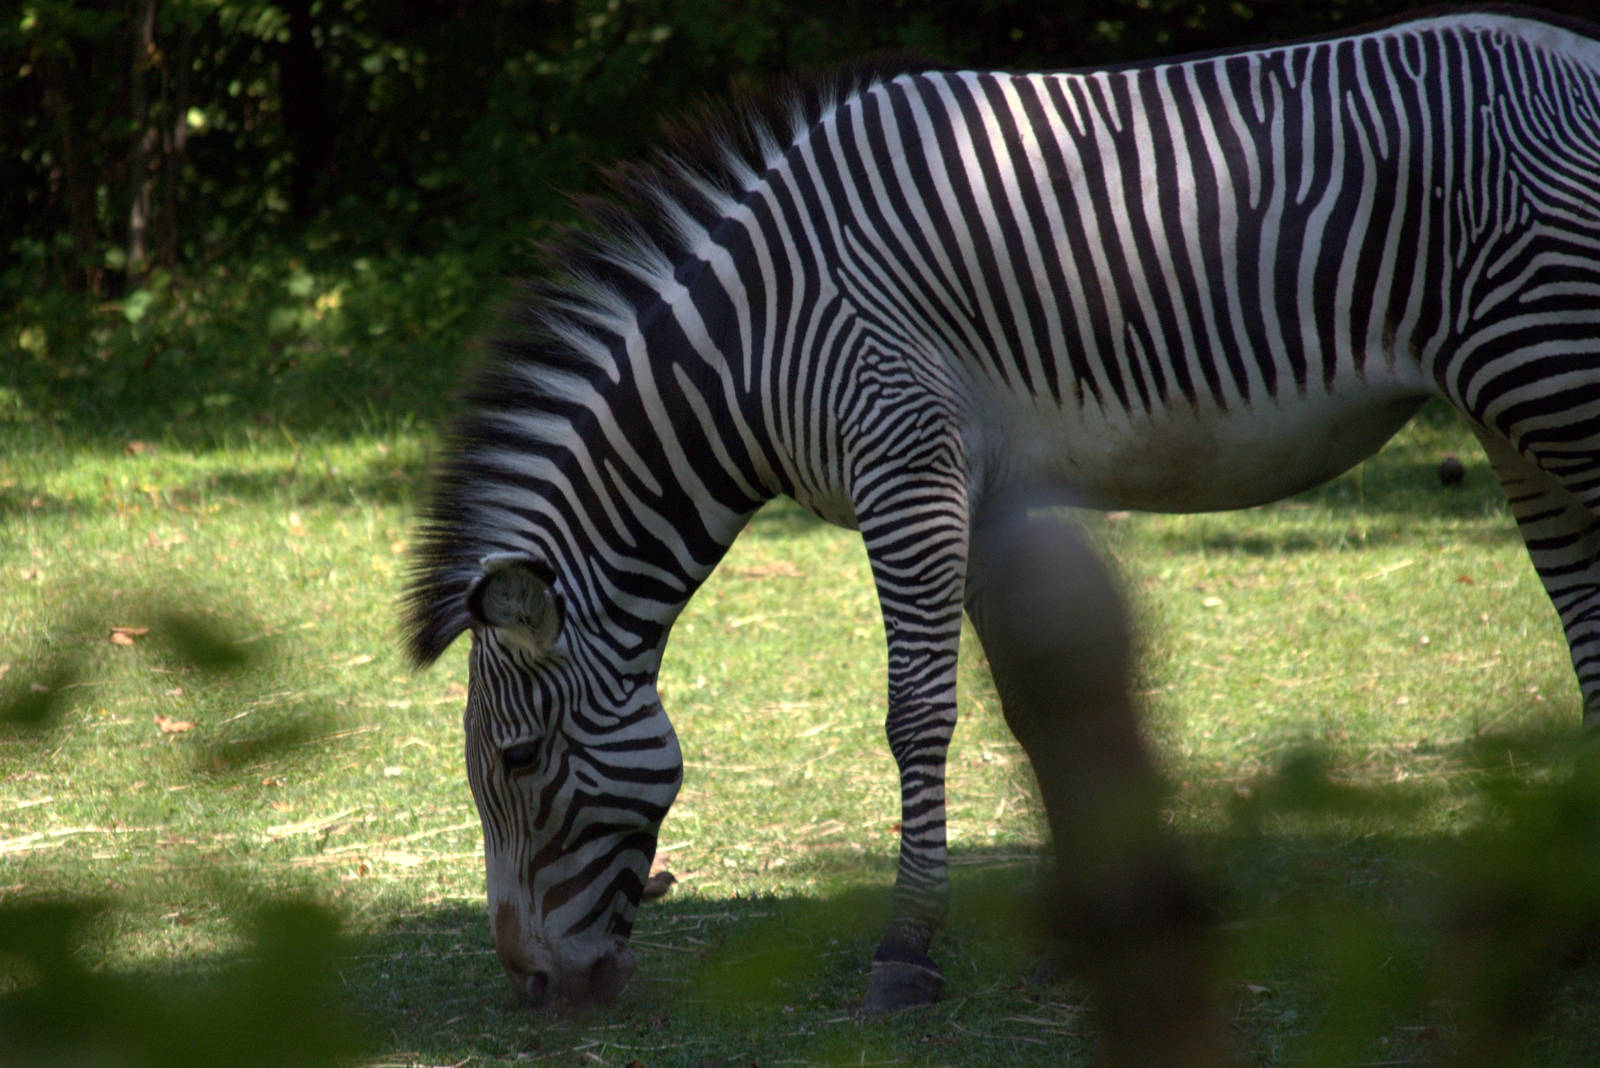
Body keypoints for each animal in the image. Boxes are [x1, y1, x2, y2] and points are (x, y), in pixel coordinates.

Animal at [406, 7, 1600, 1012]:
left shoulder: (906, 469)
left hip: (1545, 370)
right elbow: (1033, 712)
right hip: (1514, 410)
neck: (750, 348)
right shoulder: (977, 493)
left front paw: (904, 954)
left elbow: (917, 714)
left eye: (519, 760)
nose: (534, 986)